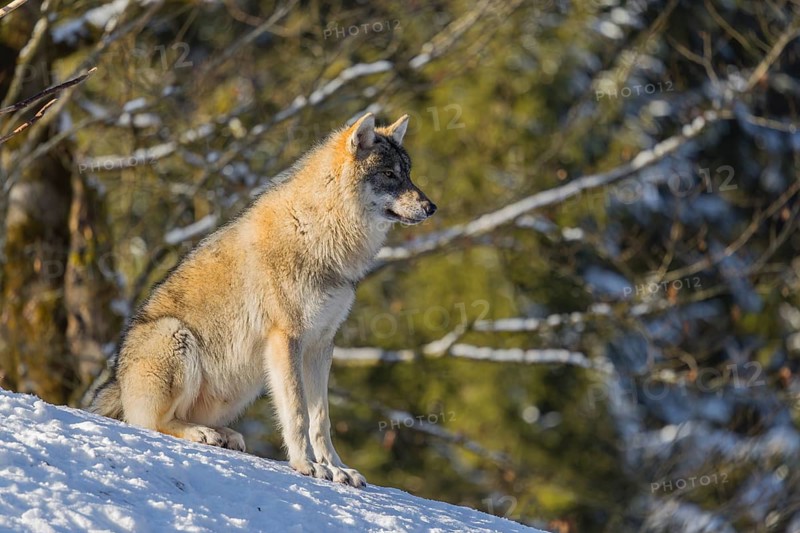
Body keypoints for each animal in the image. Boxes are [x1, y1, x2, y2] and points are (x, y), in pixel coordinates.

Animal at [89, 113, 436, 488]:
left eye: (408, 173)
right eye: (389, 174)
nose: (432, 207)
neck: (320, 234)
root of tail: (116, 381)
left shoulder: (321, 345)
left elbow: (321, 420)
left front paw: (338, 469)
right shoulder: (287, 339)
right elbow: (297, 413)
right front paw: (305, 465)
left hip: (242, 384)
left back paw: (224, 435)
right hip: (176, 335)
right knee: (151, 423)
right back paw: (202, 434)